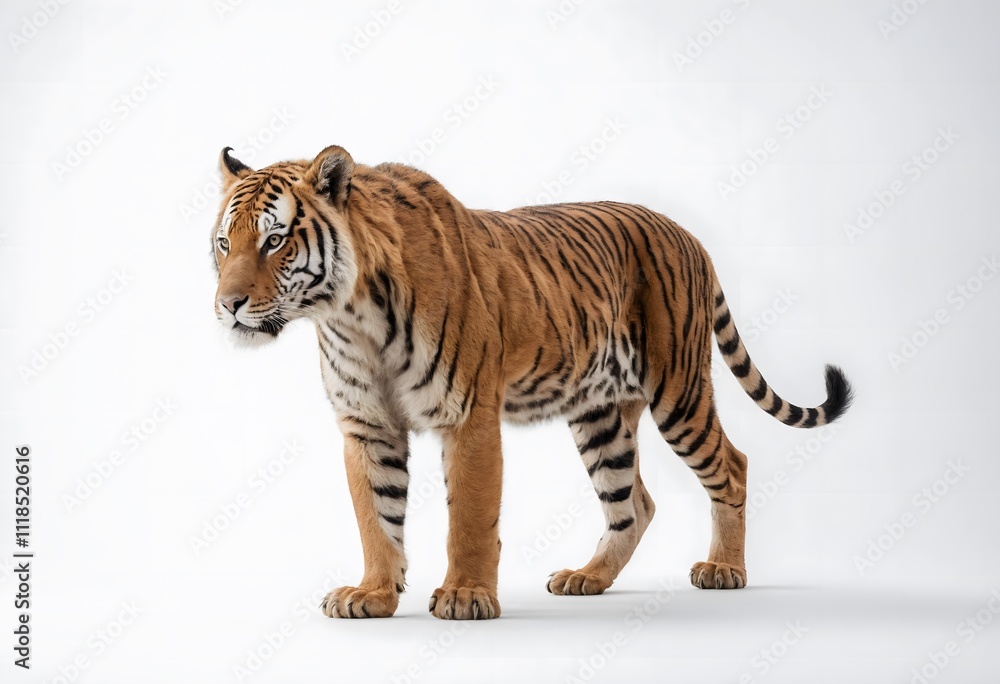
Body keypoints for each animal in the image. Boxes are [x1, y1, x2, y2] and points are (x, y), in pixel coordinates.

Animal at [211, 144, 852, 620]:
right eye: (224, 243)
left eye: (274, 240)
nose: (228, 305)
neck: (350, 315)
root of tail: (688, 235)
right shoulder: (367, 425)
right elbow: (376, 517)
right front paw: (372, 594)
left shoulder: (468, 415)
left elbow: (470, 515)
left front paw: (465, 596)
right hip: (601, 416)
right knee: (634, 502)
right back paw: (587, 578)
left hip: (679, 392)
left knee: (731, 465)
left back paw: (725, 570)